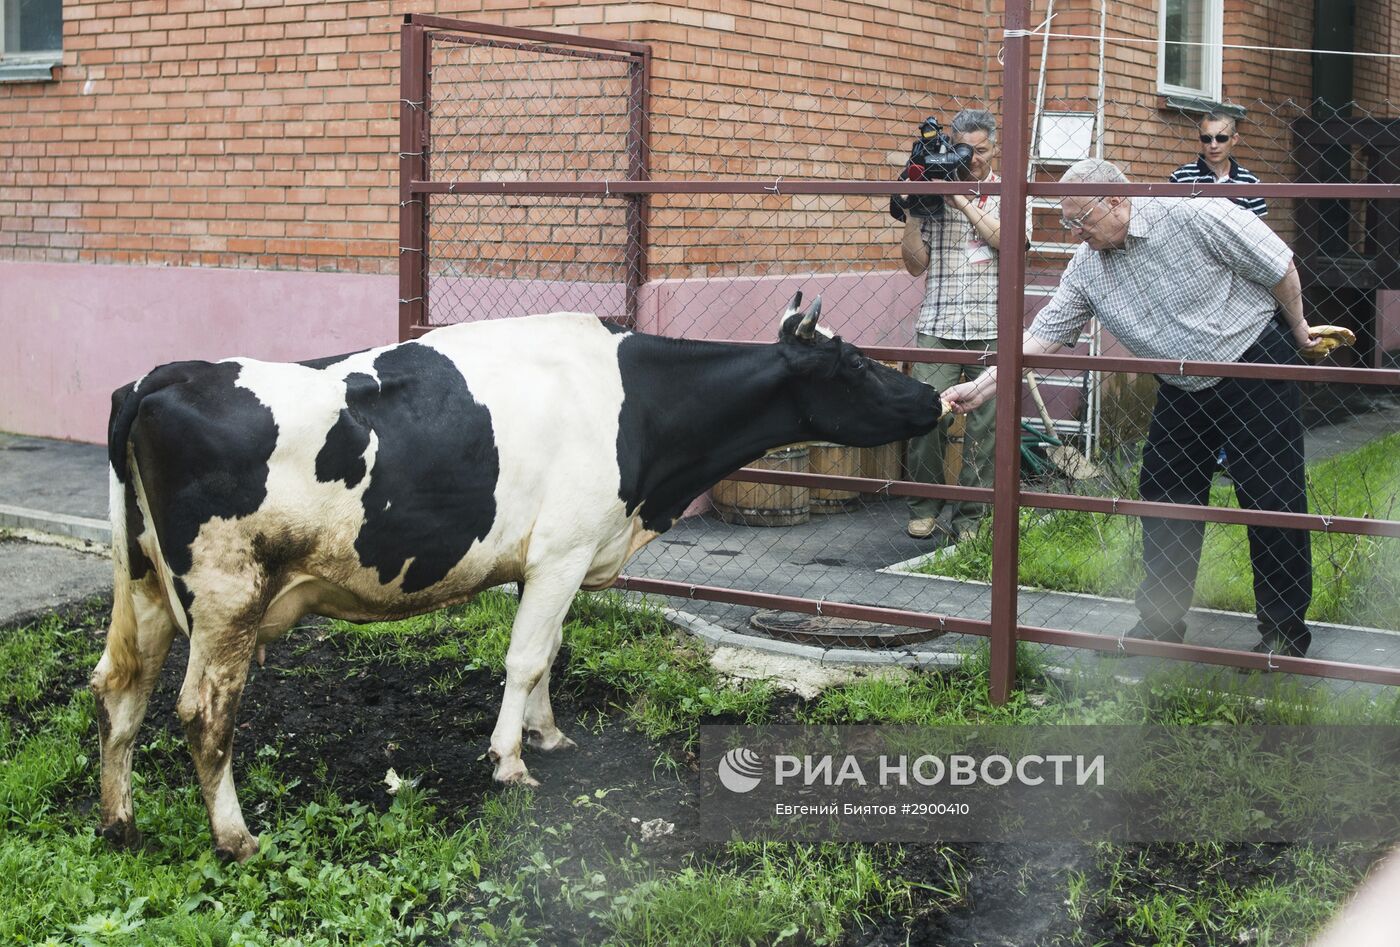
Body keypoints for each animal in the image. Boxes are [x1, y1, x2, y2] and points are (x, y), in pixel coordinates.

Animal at [87, 292, 940, 862]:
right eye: (855, 361)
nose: (934, 394)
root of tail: (159, 378)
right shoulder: (564, 548)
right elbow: (527, 656)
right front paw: (510, 760)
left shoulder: (553, 555)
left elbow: (549, 652)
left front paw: (547, 731)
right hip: (226, 594)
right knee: (203, 711)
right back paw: (235, 836)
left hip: (144, 583)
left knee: (120, 688)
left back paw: (119, 820)